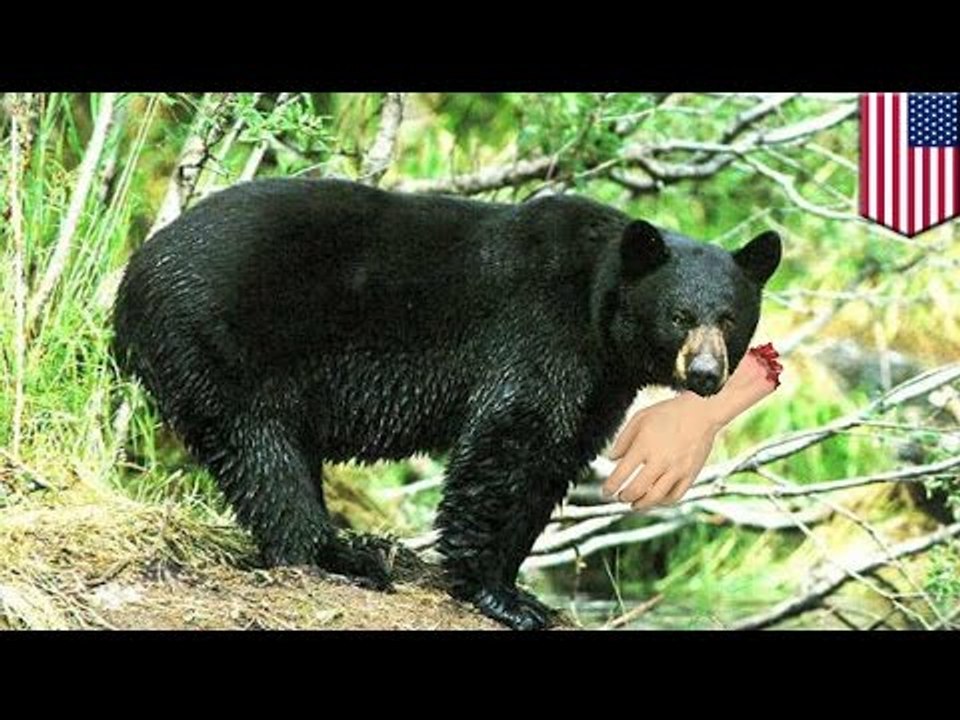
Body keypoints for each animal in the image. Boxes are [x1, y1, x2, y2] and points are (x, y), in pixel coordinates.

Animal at [112, 178, 781, 630]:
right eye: (680, 316)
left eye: (729, 318)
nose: (706, 374)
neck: (597, 303)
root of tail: (133, 276)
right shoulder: (539, 334)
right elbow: (511, 441)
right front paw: (496, 593)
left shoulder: (599, 381)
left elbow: (554, 458)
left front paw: (517, 585)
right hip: (224, 339)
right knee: (261, 448)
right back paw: (342, 555)